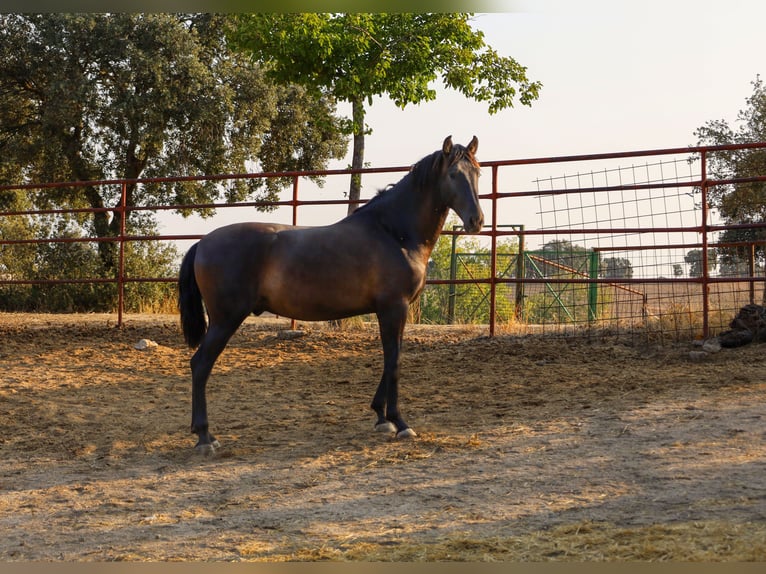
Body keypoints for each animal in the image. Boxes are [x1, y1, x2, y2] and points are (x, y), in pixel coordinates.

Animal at [177, 135, 484, 454]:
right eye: (453, 174)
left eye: (477, 173)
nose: (476, 221)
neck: (393, 232)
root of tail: (202, 243)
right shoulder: (394, 308)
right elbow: (394, 362)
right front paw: (400, 423)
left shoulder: (392, 311)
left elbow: (390, 358)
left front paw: (380, 416)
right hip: (225, 320)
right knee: (200, 365)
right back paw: (205, 437)